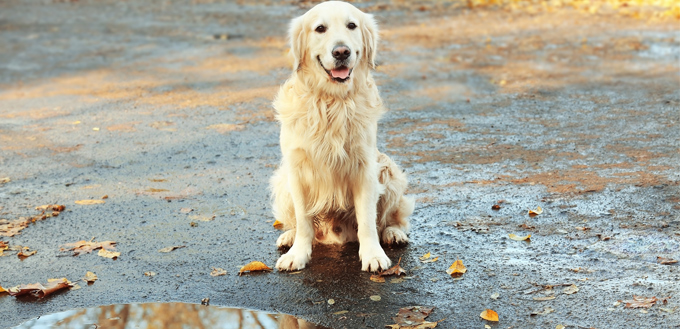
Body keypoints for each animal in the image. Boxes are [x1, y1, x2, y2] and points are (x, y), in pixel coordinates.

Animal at [268, 0, 412, 272]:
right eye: (320, 28)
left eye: (351, 25)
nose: (341, 52)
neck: (331, 101)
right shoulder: (297, 170)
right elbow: (303, 220)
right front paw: (298, 254)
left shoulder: (365, 168)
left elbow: (367, 220)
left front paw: (373, 255)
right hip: (282, 183)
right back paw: (288, 236)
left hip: (389, 170)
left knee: (392, 218)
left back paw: (393, 233)